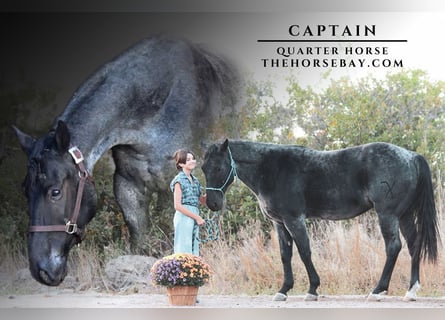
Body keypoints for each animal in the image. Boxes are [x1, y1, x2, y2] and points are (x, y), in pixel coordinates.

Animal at [13, 36, 239, 286]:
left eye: (55, 192)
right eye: (25, 190)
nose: (40, 271)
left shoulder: (171, 185)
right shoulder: (127, 185)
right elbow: (138, 236)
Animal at [203, 139, 438, 302]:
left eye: (219, 167)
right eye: (204, 168)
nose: (212, 203)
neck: (272, 169)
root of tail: (412, 157)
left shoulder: (294, 219)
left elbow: (304, 252)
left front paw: (312, 290)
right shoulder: (279, 223)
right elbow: (285, 255)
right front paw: (283, 290)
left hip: (388, 214)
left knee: (393, 247)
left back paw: (378, 290)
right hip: (404, 215)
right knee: (414, 245)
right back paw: (411, 291)